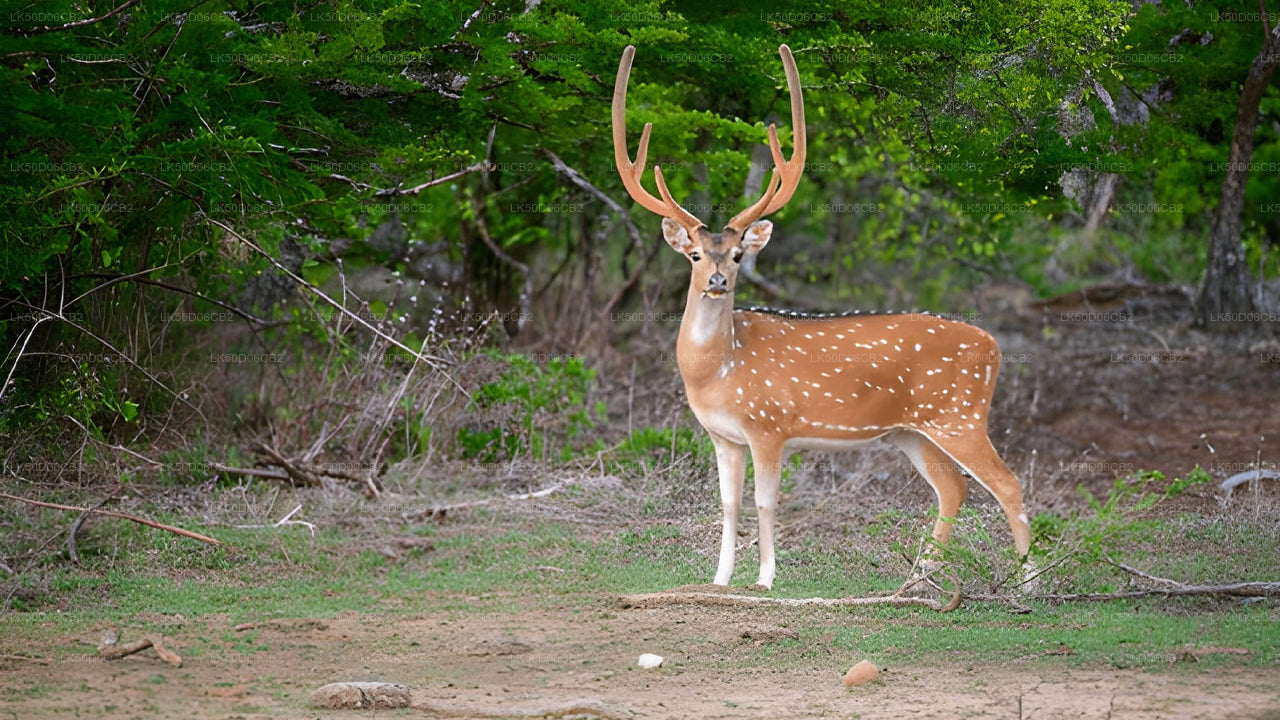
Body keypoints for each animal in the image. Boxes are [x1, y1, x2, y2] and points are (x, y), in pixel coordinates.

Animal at [612, 44, 1032, 591]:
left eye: (738, 256)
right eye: (696, 255)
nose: (718, 281)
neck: (717, 371)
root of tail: (993, 346)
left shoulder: (769, 424)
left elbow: (765, 502)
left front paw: (765, 579)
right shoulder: (722, 435)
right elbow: (727, 505)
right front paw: (720, 579)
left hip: (960, 415)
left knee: (1008, 484)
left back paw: (1030, 583)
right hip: (913, 430)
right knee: (953, 487)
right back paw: (916, 581)